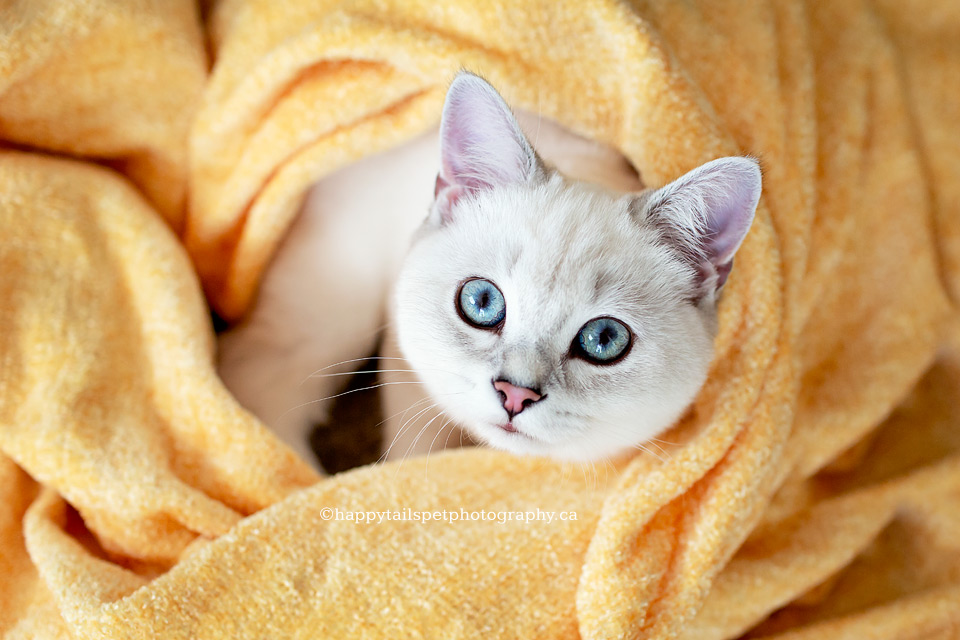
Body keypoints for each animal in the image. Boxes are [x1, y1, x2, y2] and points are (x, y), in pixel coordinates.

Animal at [216, 72, 756, 470]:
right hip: (330, 319)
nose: (515, 394)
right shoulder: (406, 367)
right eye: (481, 302)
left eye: (604, 340)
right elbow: (412, 459)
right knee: (254, 384)